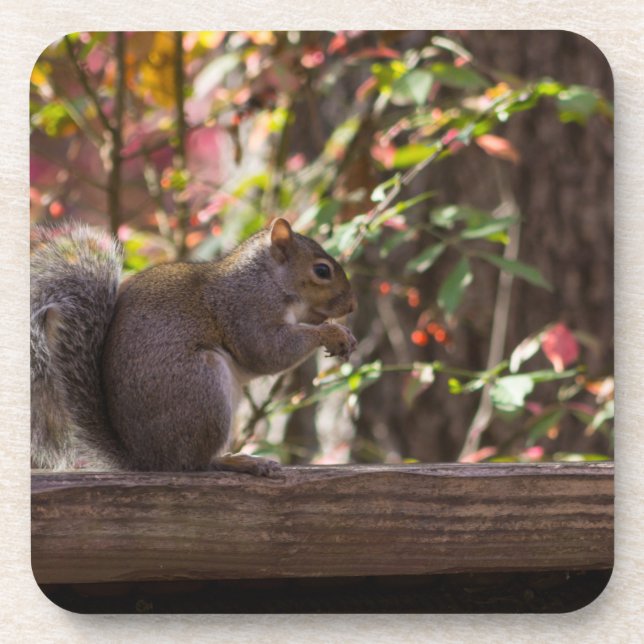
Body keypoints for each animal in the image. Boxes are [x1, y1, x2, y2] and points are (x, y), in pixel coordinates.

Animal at [30, 218, 357, 475]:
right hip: (203, 387)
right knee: (195, 462)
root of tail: (146, 459)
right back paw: (238, 462)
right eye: (322, 271)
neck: (267, 278)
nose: (352, 306)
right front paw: (331, 333)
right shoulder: (246, 309)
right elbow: (267, 352)